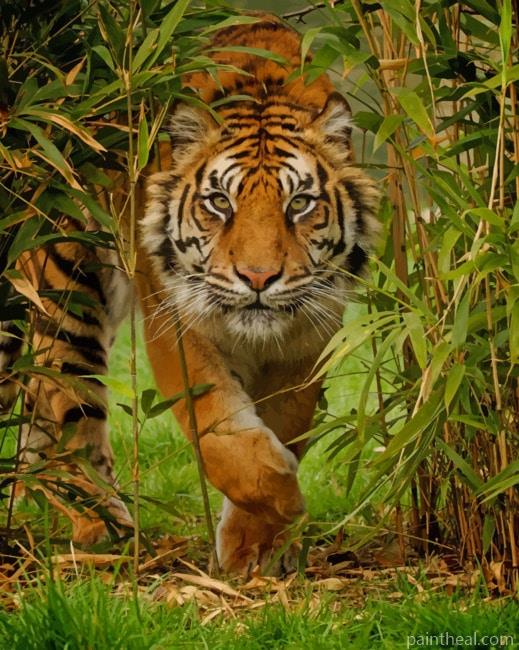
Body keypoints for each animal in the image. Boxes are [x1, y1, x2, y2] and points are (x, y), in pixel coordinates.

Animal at [0, 14, 378, 575]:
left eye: (300, 203)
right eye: (219, 202)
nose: (258, 278)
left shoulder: (309, 335)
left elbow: (285, 422)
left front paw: (255, 548)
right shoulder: (177, 322)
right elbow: (220, 435)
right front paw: (284, 497)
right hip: (66, 287)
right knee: (69, 410)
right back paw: (106, 532)